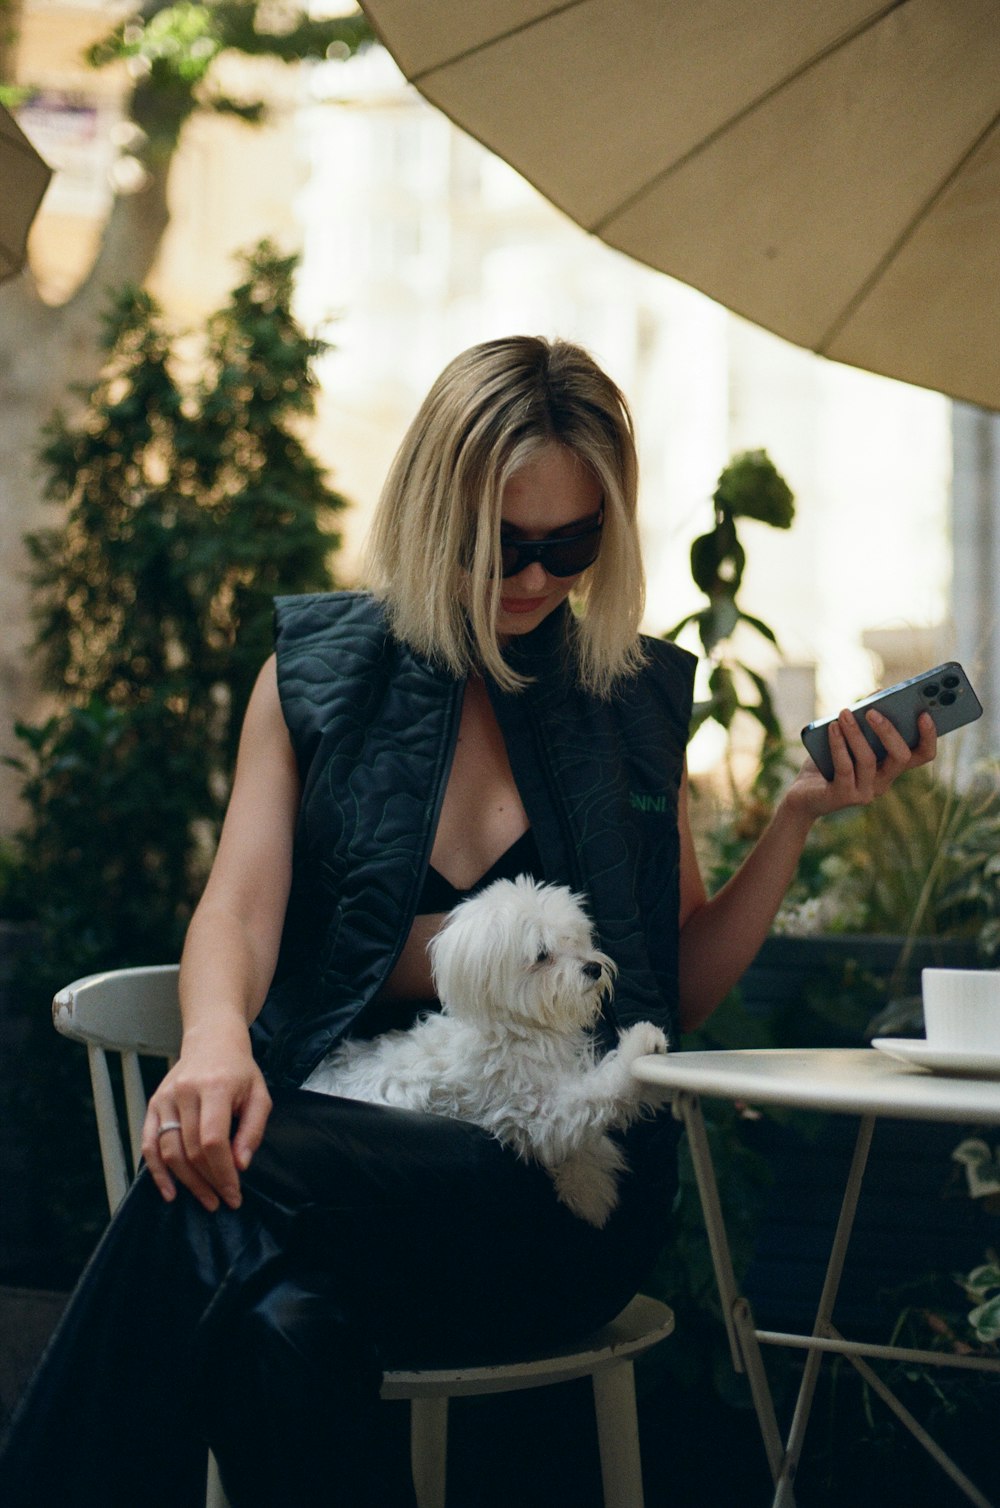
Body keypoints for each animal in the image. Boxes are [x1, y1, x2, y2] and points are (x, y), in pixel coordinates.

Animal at [301, 874, 669, 1224]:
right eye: (542, 955)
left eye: (575, 938)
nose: (593, 967)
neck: (515, 1029)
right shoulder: (536, 1108)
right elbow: (595, 1098)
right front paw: (639, 1048)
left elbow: (580, 1145)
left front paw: (589, 1189)